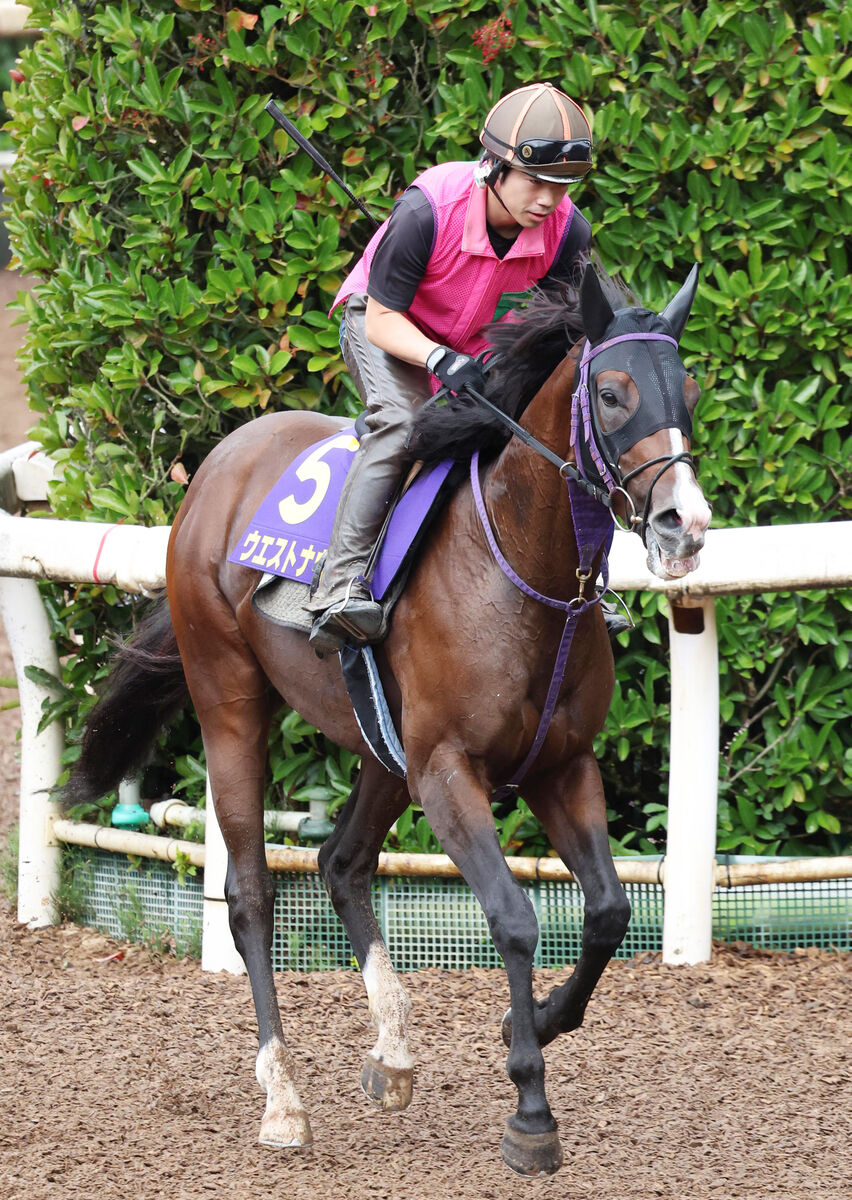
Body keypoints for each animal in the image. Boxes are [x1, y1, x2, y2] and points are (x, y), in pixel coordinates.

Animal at [61, 262, 715, 1171]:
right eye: (613, 394)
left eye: (687, 388)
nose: (684, 525)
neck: (517, 563)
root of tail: (219, 463)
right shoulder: (447, 769)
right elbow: (515, 919)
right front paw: (530, 1109)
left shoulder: (559, 764)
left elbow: (611, 913)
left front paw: (536, 1021)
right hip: (230, 702)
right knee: (252, 894)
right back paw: (283, 1100)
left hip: (378, 746)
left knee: (341, 862)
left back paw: (394, 1054)